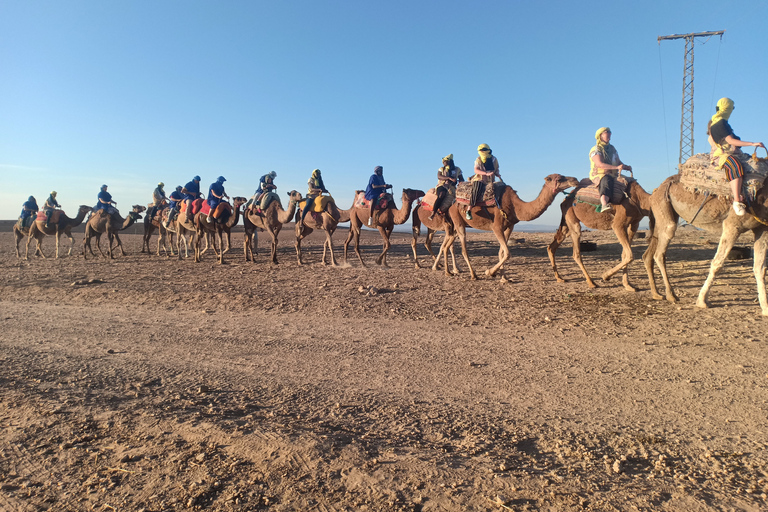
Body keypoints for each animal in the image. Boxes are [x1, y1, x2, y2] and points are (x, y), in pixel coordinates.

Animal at [444, 175, 576, 280]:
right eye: (559, 178)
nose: (574, 179)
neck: (515, 206)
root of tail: (452, 205)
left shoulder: (509, 227)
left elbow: (501, 252)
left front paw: (504, 278)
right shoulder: (496, 226)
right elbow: (507, 253)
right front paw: (489, 272)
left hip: (456, 227)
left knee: (446, 246)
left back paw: (448, 272)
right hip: (458, 221)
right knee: (463, 250)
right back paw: (473, 275)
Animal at [640, 176, 768, 316]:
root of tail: (656, 191)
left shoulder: (762, 228)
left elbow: (760, 268)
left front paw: (765, 308)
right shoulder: (733, 224)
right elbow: (717, 264)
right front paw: (702, 301)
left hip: (661, 216)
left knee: (648, 254)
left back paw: (657, 294)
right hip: (664, 208)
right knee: (659, 253)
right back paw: (671, 295)